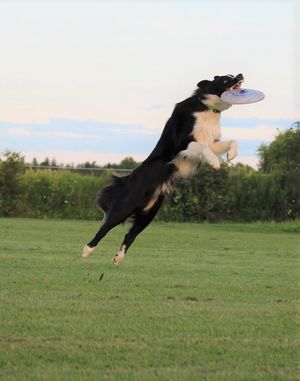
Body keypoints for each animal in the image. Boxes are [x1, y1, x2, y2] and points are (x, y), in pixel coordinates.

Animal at [81, 72, 244, 262]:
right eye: (226, 78)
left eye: (232, 75)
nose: (240, 74)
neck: (207, 108)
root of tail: (126, 179)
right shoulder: (183, 143)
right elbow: (203, 149)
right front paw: (215, 163)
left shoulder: (212, 142)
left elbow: (231, 141)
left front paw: (231, 155)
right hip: (124, 207)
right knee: (104, 228)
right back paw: (87, 250)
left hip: (149, 213)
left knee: (130, 234)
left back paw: (118, 258)